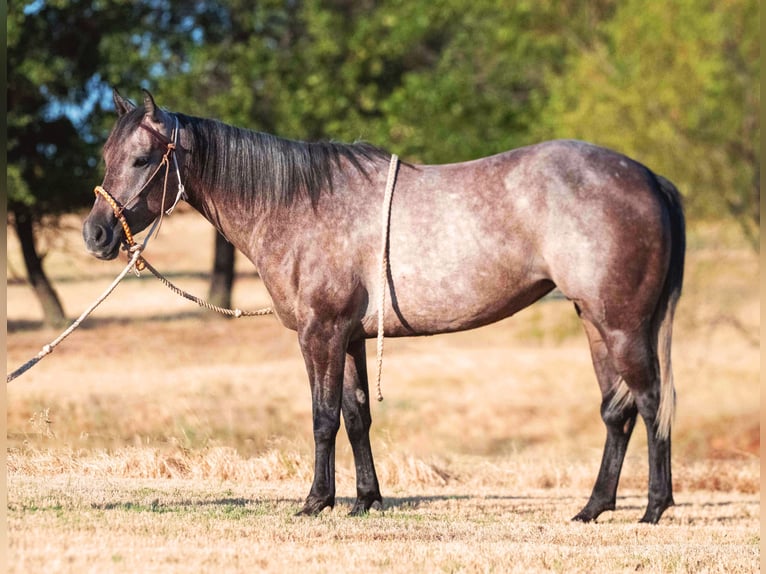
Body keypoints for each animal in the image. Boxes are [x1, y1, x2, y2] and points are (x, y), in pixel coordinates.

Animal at [83, 89, 685, 524]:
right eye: (107, 156)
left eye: (141, 158)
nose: (96, 234)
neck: (299, 205)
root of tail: (648, 177)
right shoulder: (349, 336)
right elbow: (356, 416)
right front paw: (365, 499)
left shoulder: (320, 333)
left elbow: (323, 416)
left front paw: (317, 501)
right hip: (595, 323)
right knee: (617, 410)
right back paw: (593, 508)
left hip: (623, 325)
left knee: (650, 401)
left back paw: (654, 508)